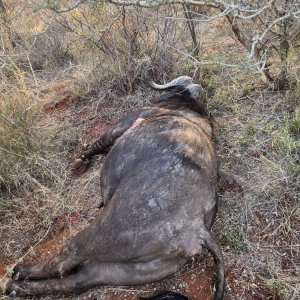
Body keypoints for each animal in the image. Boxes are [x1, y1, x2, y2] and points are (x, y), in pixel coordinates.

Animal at [5, 72, 225, 300]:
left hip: (103, 233)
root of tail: (197, 229)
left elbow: (97, 144)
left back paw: (19, 272)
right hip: (118, 271)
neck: (185, 111)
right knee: (77, 281)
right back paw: (16, 288)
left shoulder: (115, 128)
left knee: (66, 258)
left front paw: (79, 162)